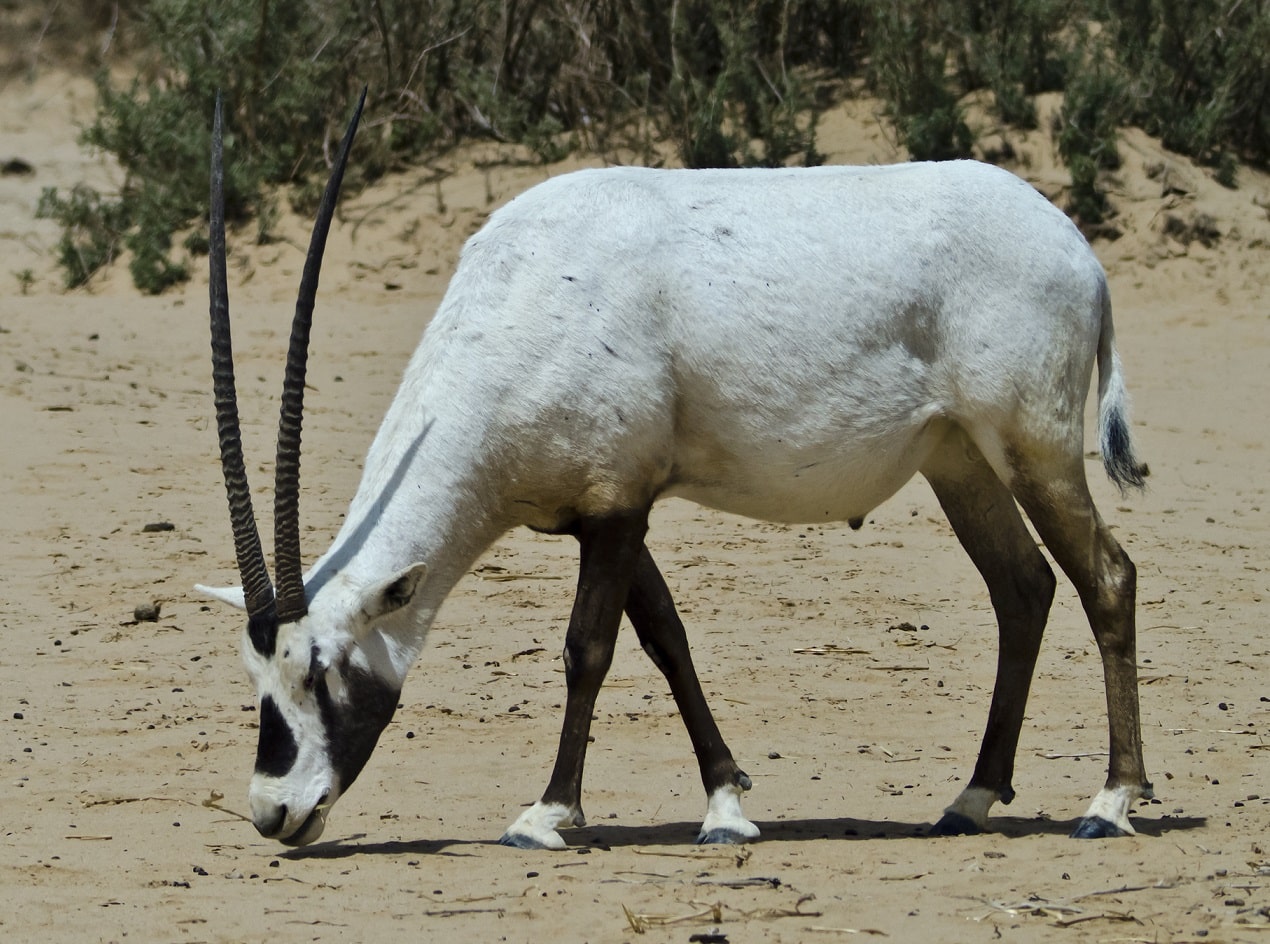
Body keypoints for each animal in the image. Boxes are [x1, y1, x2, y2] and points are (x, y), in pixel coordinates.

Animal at [195, 94, 1153, 848]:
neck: (523, 299)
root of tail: (1079, 250)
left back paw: (1110, 802)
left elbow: (588, 649)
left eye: (319, 670)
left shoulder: (618, 508)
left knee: (1106, 577)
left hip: (1031, 447)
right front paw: (726, 803)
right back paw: (973, 797)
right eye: (255, 677)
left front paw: (548, 815)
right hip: (960, 461)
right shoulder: (607, 506)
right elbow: (666, 638)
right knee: (1023, 587)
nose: (274, 813)